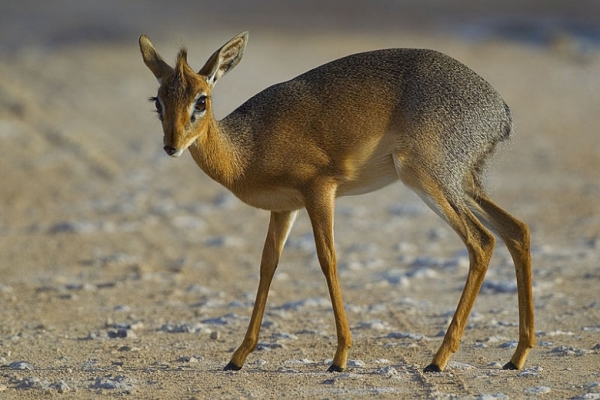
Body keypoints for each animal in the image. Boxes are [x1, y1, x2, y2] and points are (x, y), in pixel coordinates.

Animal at [139, 32, 536, 374]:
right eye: (158, 100)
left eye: (201, 100)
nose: (171, 145)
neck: (247, 148)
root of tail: (500, 111)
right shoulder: (284, 208)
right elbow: (268, 266)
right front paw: (238, 357)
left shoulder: (320, 191)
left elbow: (327, 260)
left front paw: (340, 357)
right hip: (462, 182)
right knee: (516, 230)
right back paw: (516, 356)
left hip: (427, 178)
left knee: (481, 240)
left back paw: (438, 360)